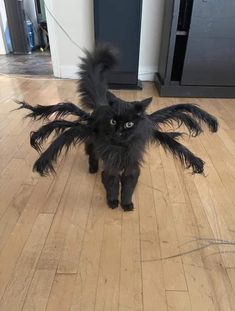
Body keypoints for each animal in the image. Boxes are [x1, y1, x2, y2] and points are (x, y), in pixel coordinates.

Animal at [17, 44, 218, 212]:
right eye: (113, 122)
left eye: (129, 124)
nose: (119, 131)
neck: (121, 150)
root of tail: (101, 105)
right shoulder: (111, 168)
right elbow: (113, 186)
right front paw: (113, 203)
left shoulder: (132, 169)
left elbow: (127, 189)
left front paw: (127, 205)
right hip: (92, 140)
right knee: (92, 154)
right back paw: (93, 170)